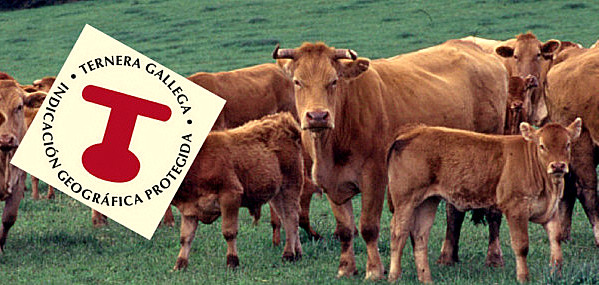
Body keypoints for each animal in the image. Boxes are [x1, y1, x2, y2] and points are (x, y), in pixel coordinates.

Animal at [170, 112, 302, 270]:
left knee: (291, 219)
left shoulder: (230, 195)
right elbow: (186, 237)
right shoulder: (189, 209)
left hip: (289, 187)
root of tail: (282, 119)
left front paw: (232, 261)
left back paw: (288, 254)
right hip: (276, 195)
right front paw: (180, 265)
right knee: (288, 218)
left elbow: (229, 232)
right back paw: (297, 253)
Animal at [274, 41, 508, 278]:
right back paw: (448, 257)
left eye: (333, 81)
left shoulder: (374, 178)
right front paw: (346, 268)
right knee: (454, 210)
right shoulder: (331, 183)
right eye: (297, 82)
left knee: (492, 210)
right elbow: (345, 229)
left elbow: (368, 227)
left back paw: (494, 257)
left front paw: (374, 270)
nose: (318, 116)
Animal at [386, 118, 584, 282]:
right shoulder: (516, 209)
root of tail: (412, 131)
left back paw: (425, 278)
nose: (558, 165)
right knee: (398, 233)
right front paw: (523, 277)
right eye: (542, 145)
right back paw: (394, 276)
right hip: (405, 200)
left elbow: (556, 241)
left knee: (420, 236)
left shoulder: (551, 211)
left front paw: (556, 275)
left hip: (428, 201)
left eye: (567, 144)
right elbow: (521, 245)